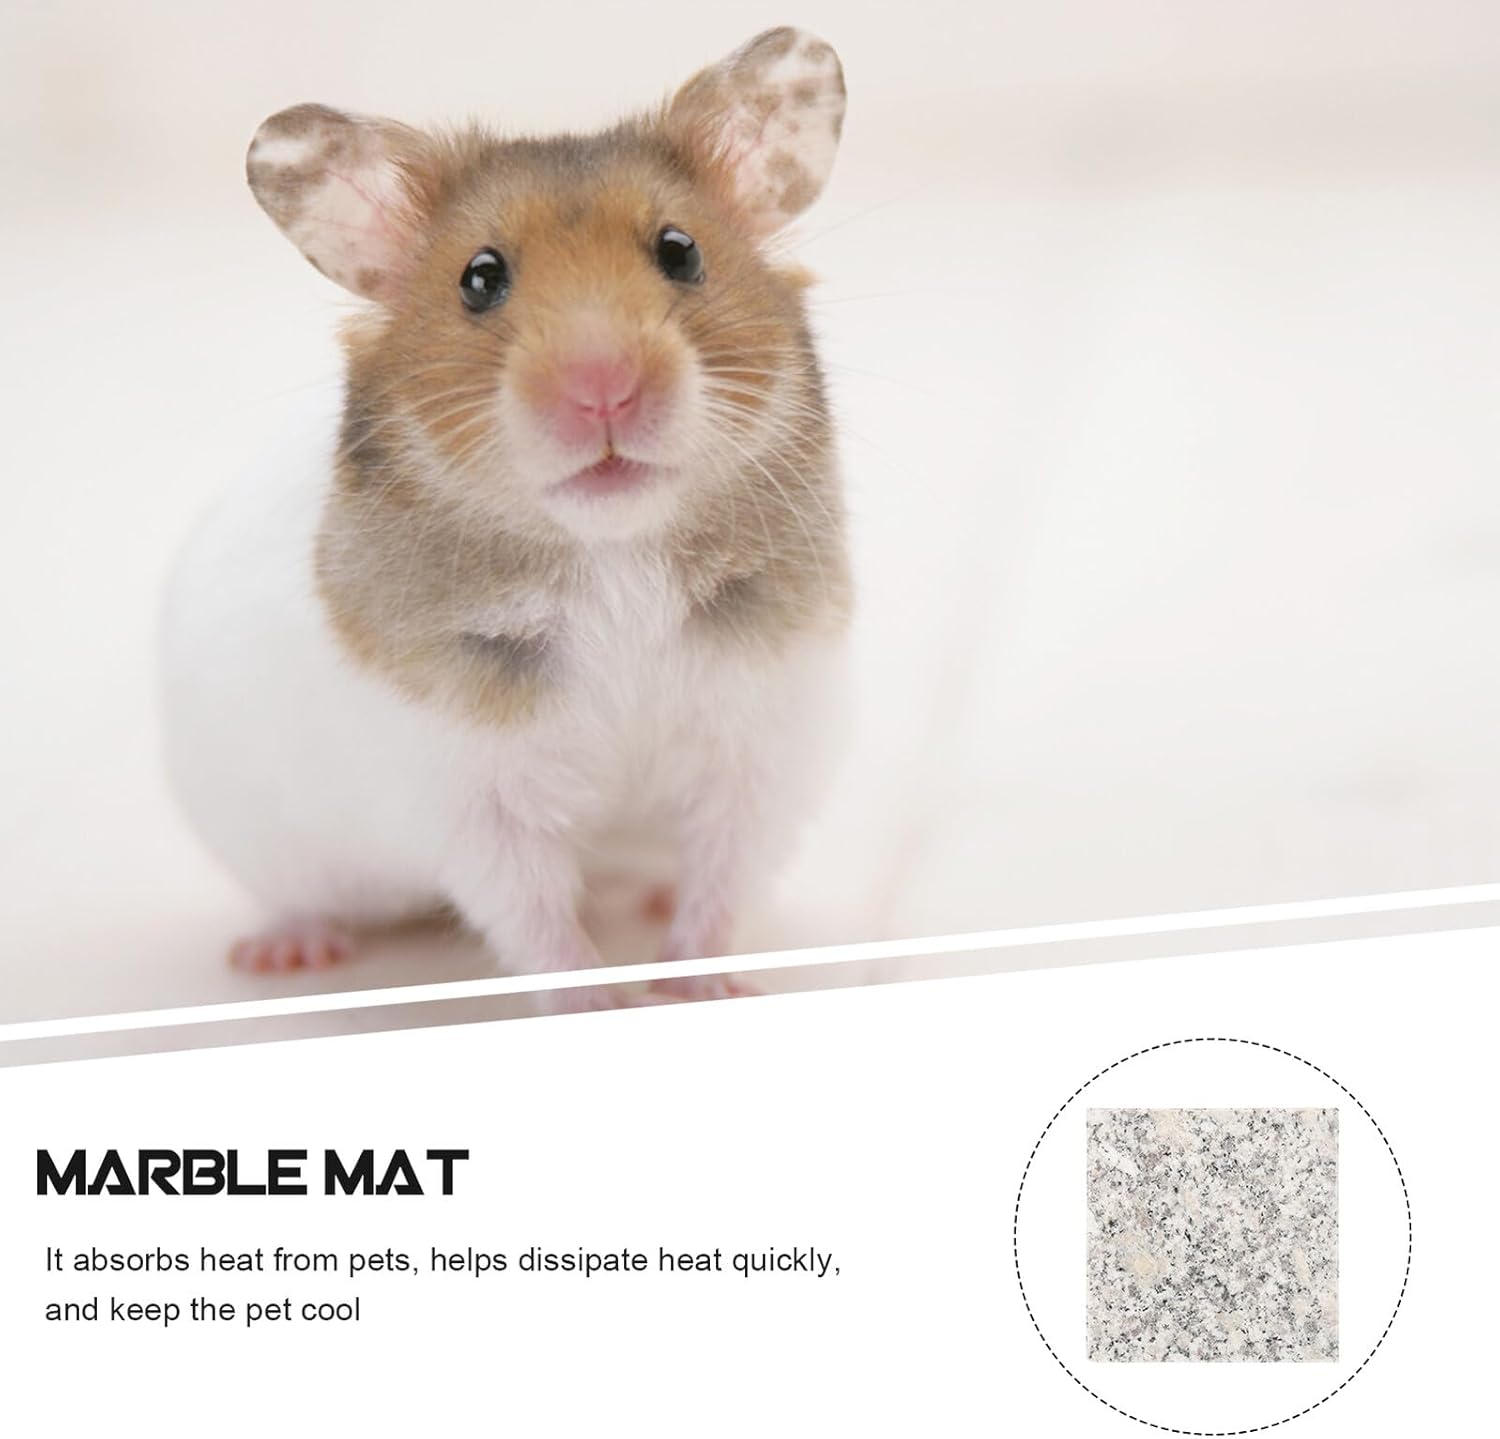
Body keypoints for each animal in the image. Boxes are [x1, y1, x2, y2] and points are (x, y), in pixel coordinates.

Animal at [159, 28, 852, 1007]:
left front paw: (701, 987)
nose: (603, 388)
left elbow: (723, 871)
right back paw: (287, 952)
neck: (612, 553)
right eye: (479, 278)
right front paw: (598, 1000)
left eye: (680, 251)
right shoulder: (473, 792)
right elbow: (533, 912)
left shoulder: (761, 740)